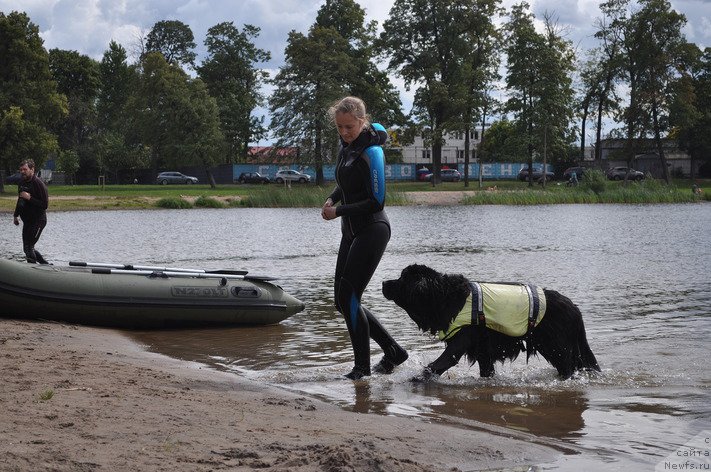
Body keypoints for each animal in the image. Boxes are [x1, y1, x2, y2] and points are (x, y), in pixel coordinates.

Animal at [384, 264, 600, 382]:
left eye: (402, 279)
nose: (384, 282)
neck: (445, 298)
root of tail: (575, 309)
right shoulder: (483, 352)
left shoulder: (461, 339)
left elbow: (440, 362)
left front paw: (417, 378)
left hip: (558, 349)